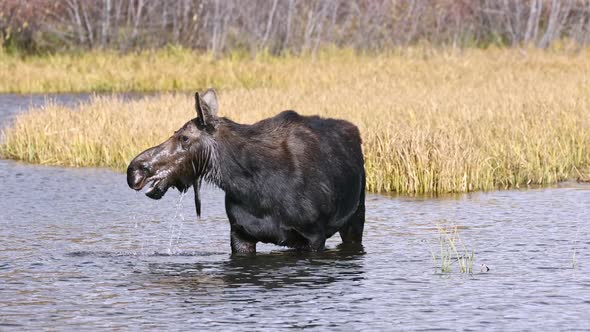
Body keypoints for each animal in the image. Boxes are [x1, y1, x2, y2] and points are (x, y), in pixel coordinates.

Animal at [128, 89, 368, 253]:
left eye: (184, 138)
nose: (135, 169)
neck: (252, 189)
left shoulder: (314, 237)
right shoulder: (240, 235)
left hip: (356, 218)